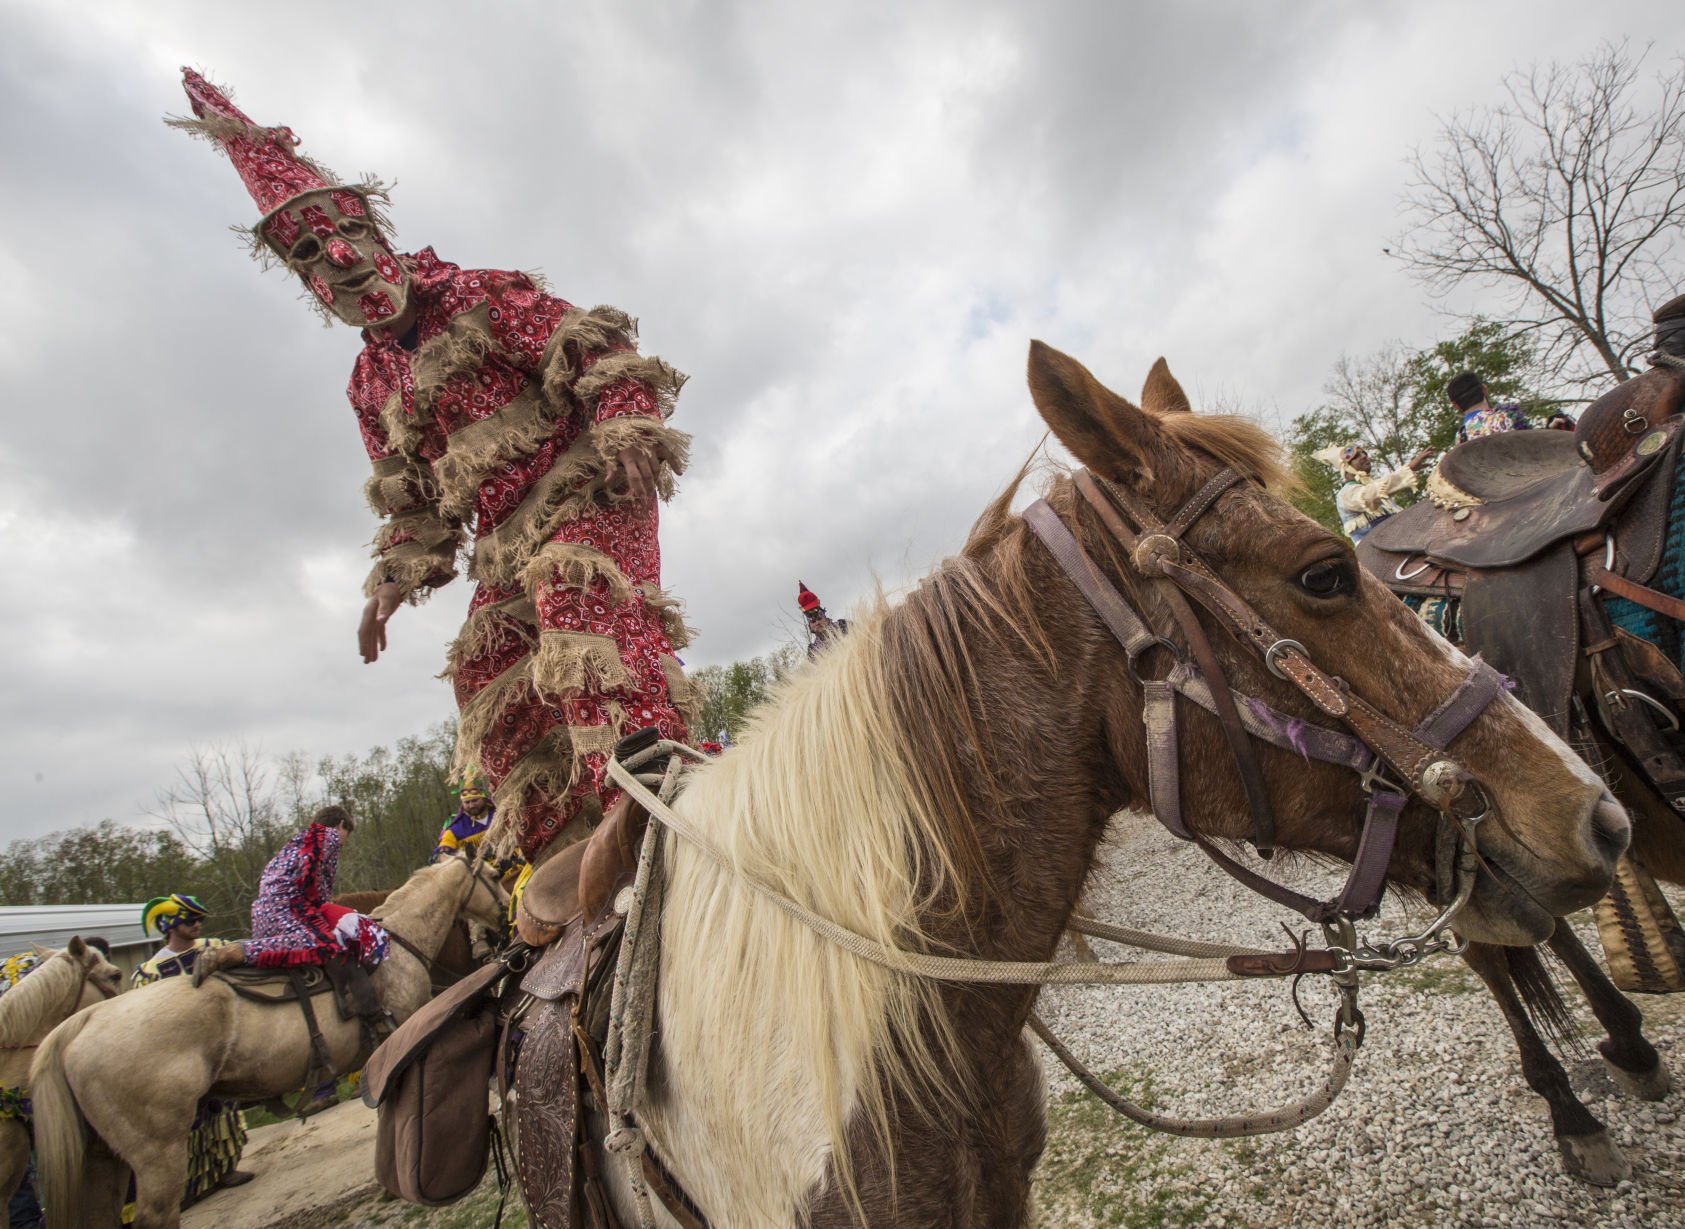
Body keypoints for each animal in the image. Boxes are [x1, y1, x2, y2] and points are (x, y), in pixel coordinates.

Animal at [32, 853, 502, 1227]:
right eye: (495, 875)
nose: (503, 919)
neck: (396, 943)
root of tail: (79, 1023)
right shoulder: (398, 1042)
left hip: (104, 1160)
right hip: (156, 1152)